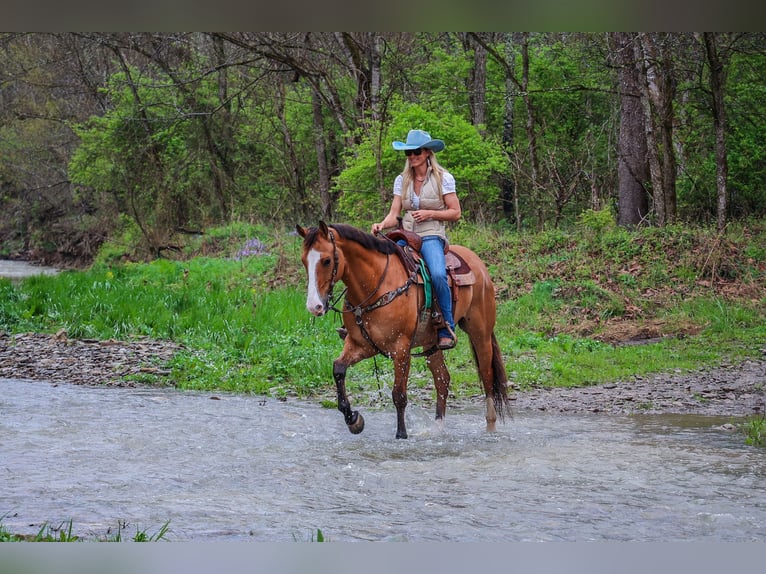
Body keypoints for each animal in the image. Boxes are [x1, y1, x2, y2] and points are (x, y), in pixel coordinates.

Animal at [298, 223, 510, 438]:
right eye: (304, 261)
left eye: (326, 260)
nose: (314, 306)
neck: (375, 284)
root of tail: (479, 264)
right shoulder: (361, 345)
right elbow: (339, 369)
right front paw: (354, 420)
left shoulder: (400, 348)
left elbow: (399, 393)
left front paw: (401, 434)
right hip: (431, 342)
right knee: (442, 379)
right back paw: (438, 428)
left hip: (480, 333)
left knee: (487, 375)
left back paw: (490, 425)